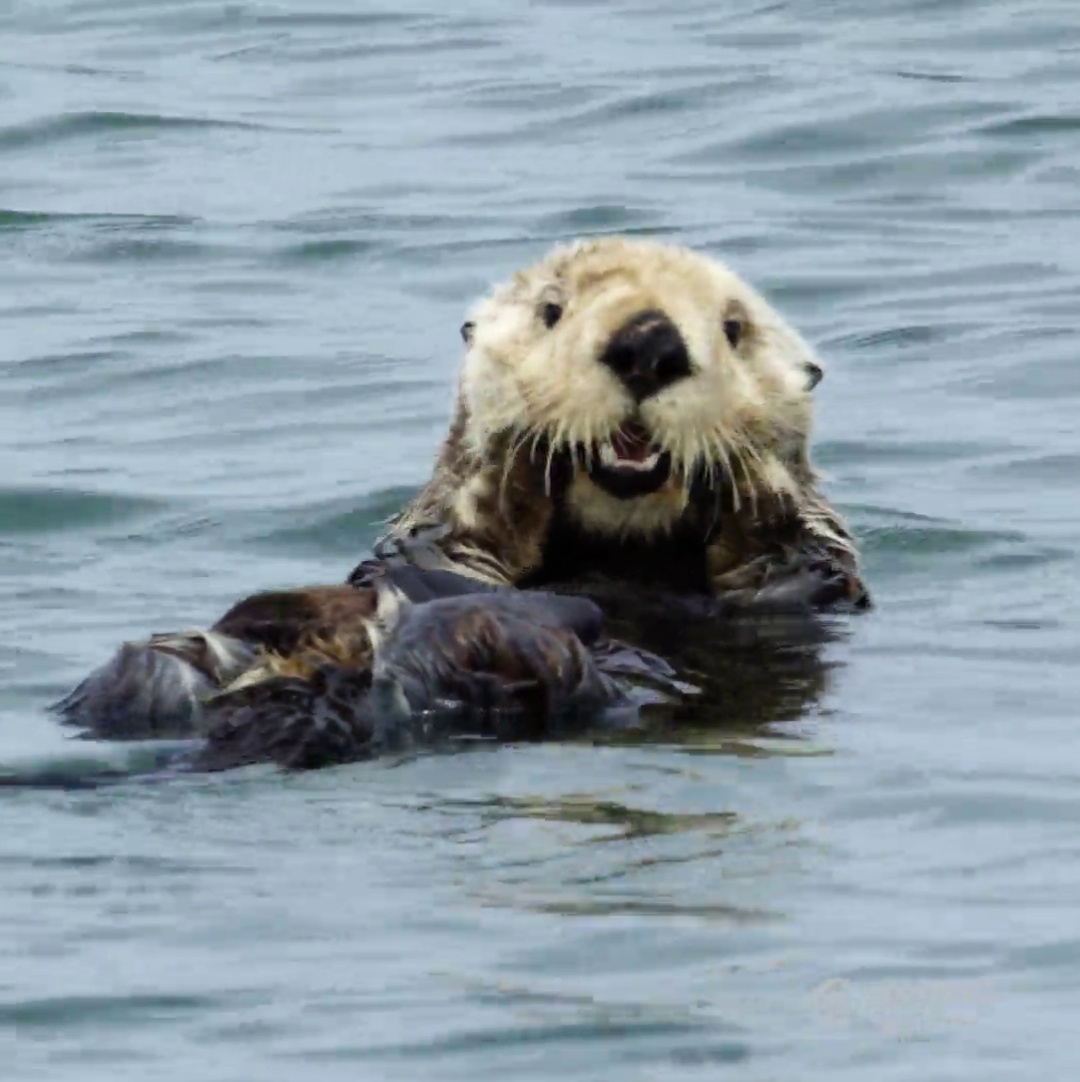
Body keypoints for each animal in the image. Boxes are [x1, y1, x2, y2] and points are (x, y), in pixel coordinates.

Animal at [54, 240, 874, 774]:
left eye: (735, 329)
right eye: (552, 310)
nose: (648, 341)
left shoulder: (811, 589)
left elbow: (784, 558)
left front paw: (755, 474)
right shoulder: (440, 534)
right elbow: (450, 535)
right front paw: (509, 461)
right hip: (135, 680)